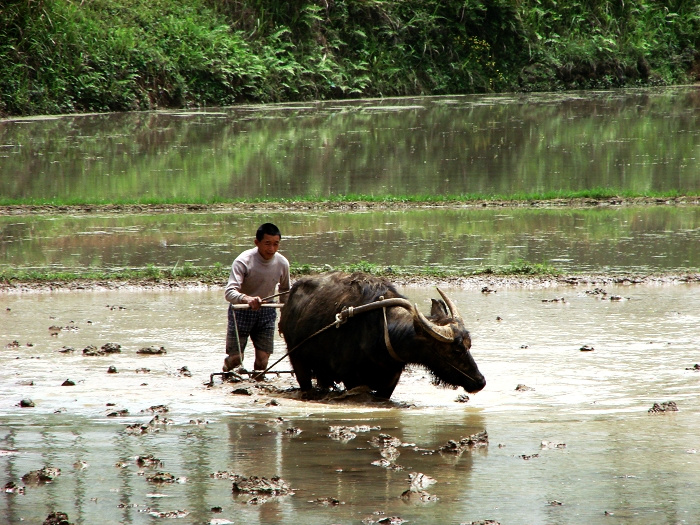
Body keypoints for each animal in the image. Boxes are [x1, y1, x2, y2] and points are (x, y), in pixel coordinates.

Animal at [276, 272, 484, 400]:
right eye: (455, 350)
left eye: (469, 346)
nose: (480, 381)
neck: (383, 334)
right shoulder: (351, 378)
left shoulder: (390, 381)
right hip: (297, 358)